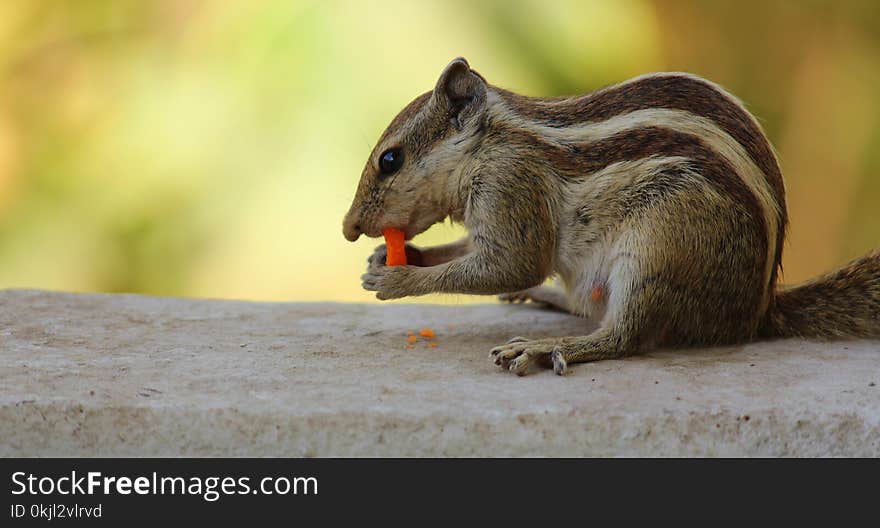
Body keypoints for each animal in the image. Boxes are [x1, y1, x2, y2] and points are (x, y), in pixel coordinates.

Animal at [342, 56, 880, 376]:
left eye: (390, 160)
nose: (349, 229)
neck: (488, 145)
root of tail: (754, 311)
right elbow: (469, 254)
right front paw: (396, 256)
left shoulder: (511, 186)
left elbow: (513, 263)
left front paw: (398, 279)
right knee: (591, 309)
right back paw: (548, 300)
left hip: (658, 247)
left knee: (623, 335)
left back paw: (545, 347)